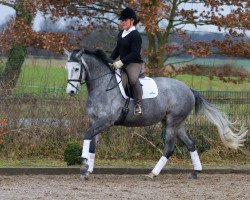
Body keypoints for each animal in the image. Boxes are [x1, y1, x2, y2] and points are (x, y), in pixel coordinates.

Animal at [63, 48, 247, 180]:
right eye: (67, 68)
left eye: (77, 68)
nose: (70, 91)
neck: (102, 86)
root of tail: (188, 89)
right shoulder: (94, 120)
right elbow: (92, 144)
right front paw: (88, 170)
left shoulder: (106, 121)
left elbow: (87, 136)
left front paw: (83, 165)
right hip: (175, 123)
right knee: (190, 143)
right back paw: (196, 172)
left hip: (172, 123)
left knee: (169, 148)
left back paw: (152, 174)